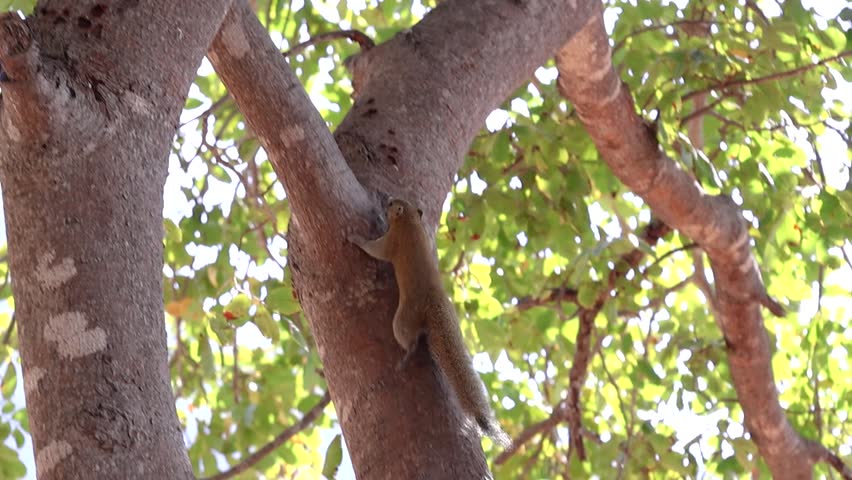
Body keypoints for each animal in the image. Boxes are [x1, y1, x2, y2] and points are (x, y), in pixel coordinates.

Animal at [350, 198, 511, 447]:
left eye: (394, 203)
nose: (387, 200)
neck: (411, 223)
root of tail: (436, 303)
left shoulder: (391, 241)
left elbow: (374, 249)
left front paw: (355, 238)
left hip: (402, 319)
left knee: (411, 339)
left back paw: (405, 357)